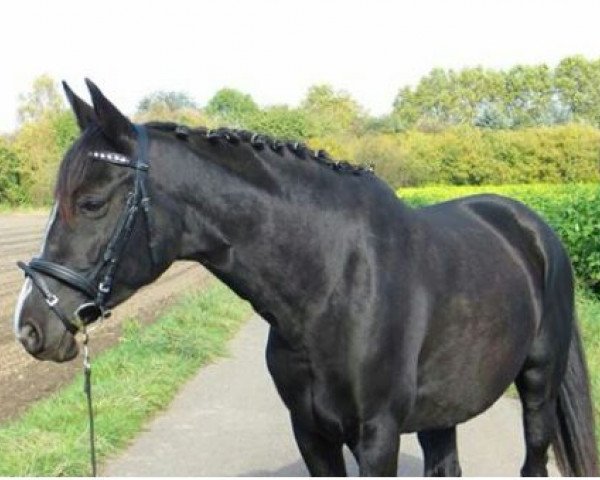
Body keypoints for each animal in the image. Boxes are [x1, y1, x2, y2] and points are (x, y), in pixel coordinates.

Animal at [14, 82, 596, 476]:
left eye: (91, 202)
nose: (30, 326)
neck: (332, 283)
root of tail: (535, 228)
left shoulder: (377, 435)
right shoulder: (312, 433)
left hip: (538, 386)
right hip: (442, 409)